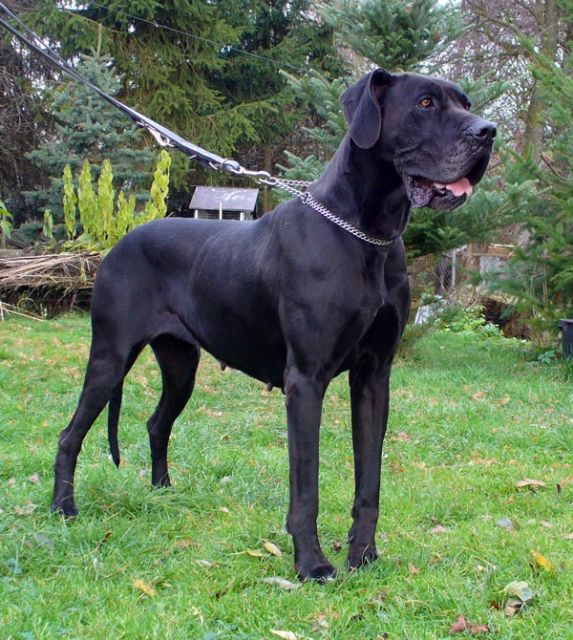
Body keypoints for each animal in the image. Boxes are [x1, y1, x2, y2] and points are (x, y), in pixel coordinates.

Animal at [52, 68, 495, 581]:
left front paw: (363, 555)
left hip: (181, 365)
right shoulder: (305, 380)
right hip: (110, 356)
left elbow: (370, 480)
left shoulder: (374, 377)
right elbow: (306, 486)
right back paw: (63, 510)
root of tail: (119, 243)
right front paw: (312, 564)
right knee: (70, 435)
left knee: (156, 422)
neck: (369, 232)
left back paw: (163, 492)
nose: (488, 132)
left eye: (465, 102)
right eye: (425, 103)